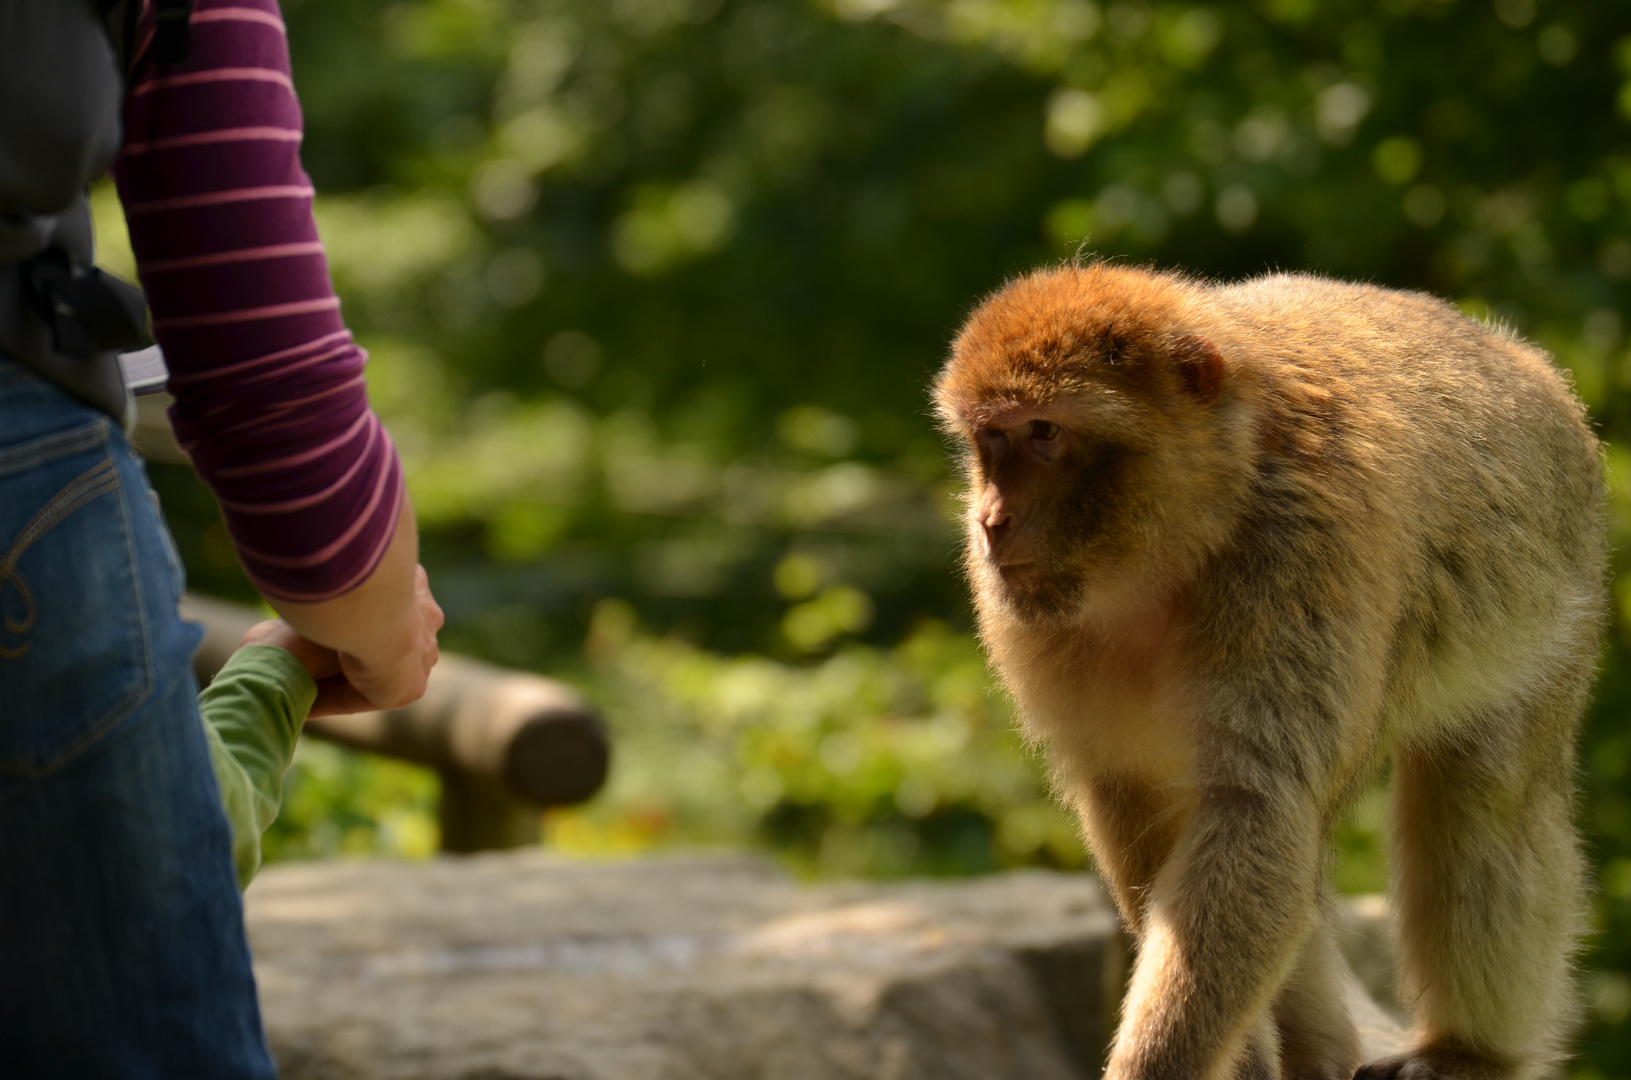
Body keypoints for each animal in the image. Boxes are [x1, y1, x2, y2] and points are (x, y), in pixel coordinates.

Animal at [932, 262, 1604, 1080]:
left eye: (1044, 433)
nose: (990, 520)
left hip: (1552, 607)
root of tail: (1525, 360)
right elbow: (1151, 804)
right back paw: (1326, 1049)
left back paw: (1468, 1052)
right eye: (990, 438)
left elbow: (1256, 806)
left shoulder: (1299, 550)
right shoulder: (1026, 610)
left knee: (1483, 799)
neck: (1190, 532)